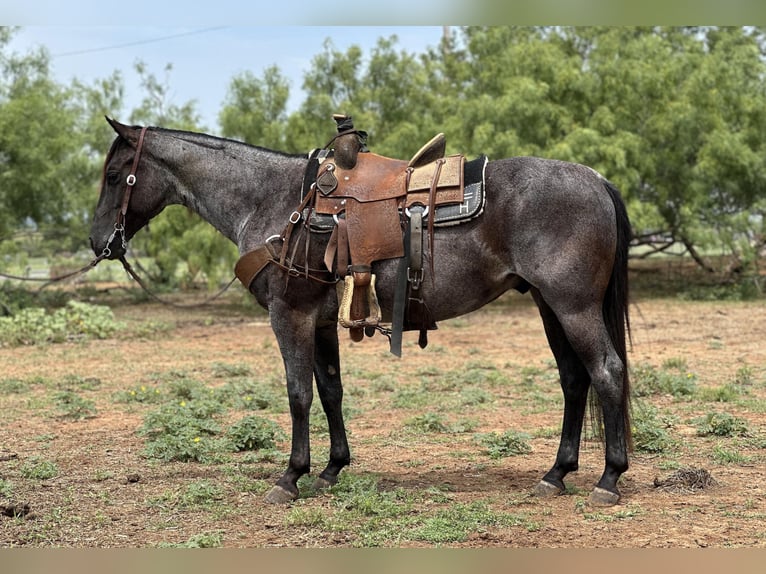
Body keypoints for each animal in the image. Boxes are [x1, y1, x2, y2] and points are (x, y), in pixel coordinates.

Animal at [90, 118, 632, 508]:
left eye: (115, 176)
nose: (98, 242)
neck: (277, 202)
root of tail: (597, 179)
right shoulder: (321, 320)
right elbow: (330, 390)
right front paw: (332, 468)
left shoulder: (290, 315)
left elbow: (298, 394)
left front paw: (291, 476)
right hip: (548, 304)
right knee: (574, 380)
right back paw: (556, 474)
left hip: (573, 306)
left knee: (606, 373)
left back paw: (608, 478)